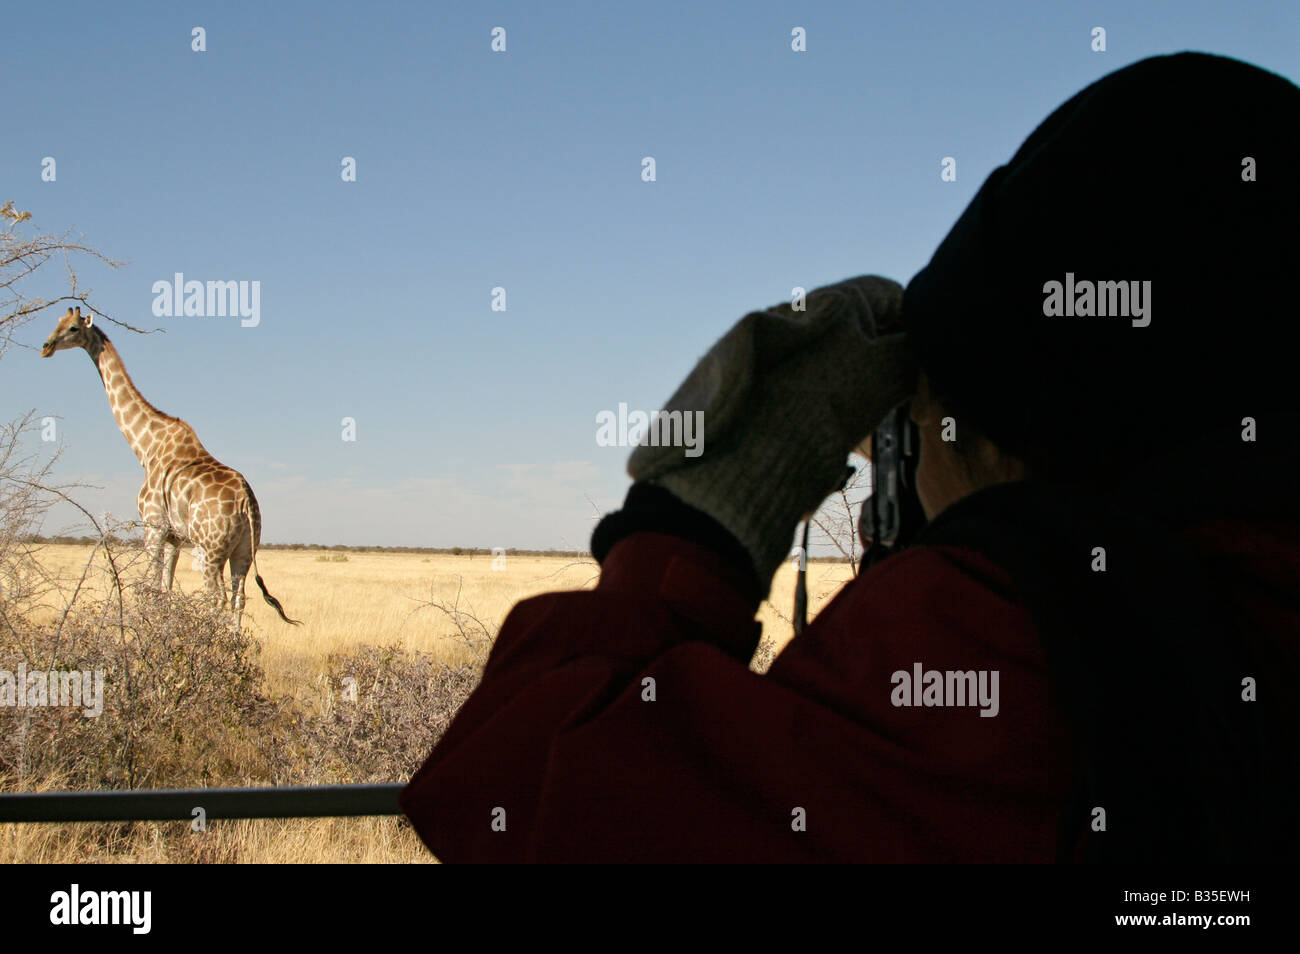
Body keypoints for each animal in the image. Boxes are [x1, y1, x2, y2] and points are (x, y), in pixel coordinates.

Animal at [40, 308, 299, 634]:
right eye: (56, 323)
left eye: (72, 328)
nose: (46, 347)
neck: (146, 446)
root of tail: (246, 503)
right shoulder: (174, 537)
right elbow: (167, 588)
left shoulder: (153, 526)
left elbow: (151, 586)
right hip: (244, 550)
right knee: (239, 598)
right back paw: (234, 643)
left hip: (210, 549)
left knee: (216, 597)